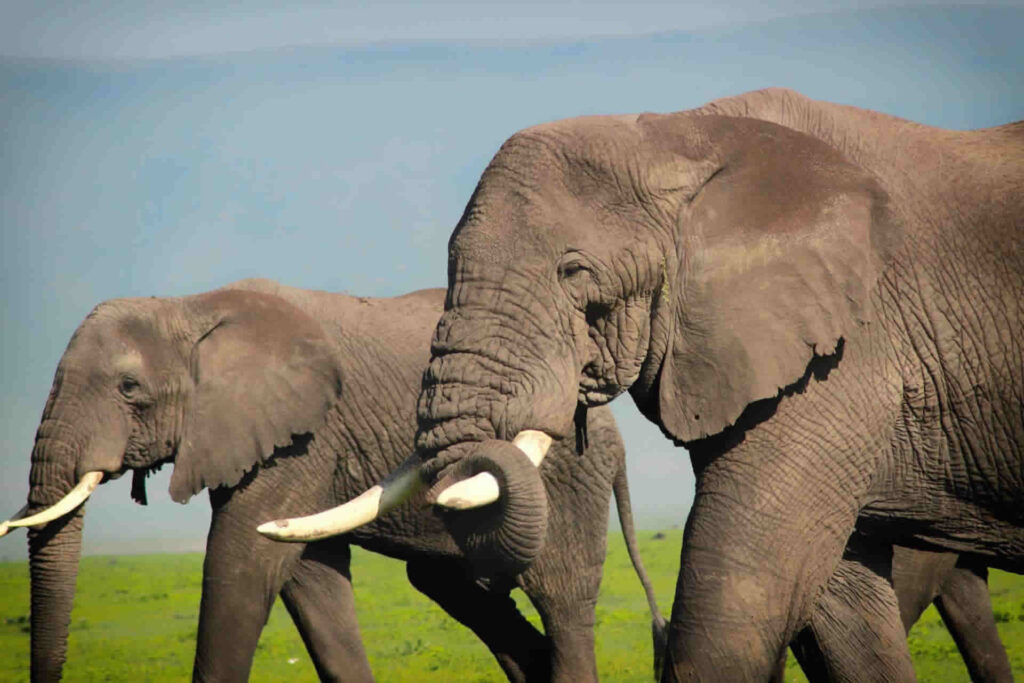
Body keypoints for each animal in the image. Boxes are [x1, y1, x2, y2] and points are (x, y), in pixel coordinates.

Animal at [0, 278, 667, 683]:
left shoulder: (304, 438)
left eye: (128, 388)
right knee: (456, 589)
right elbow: (308, 576)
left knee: (563, 601)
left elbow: (244, 563)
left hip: (572, 479)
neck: (191, 307)